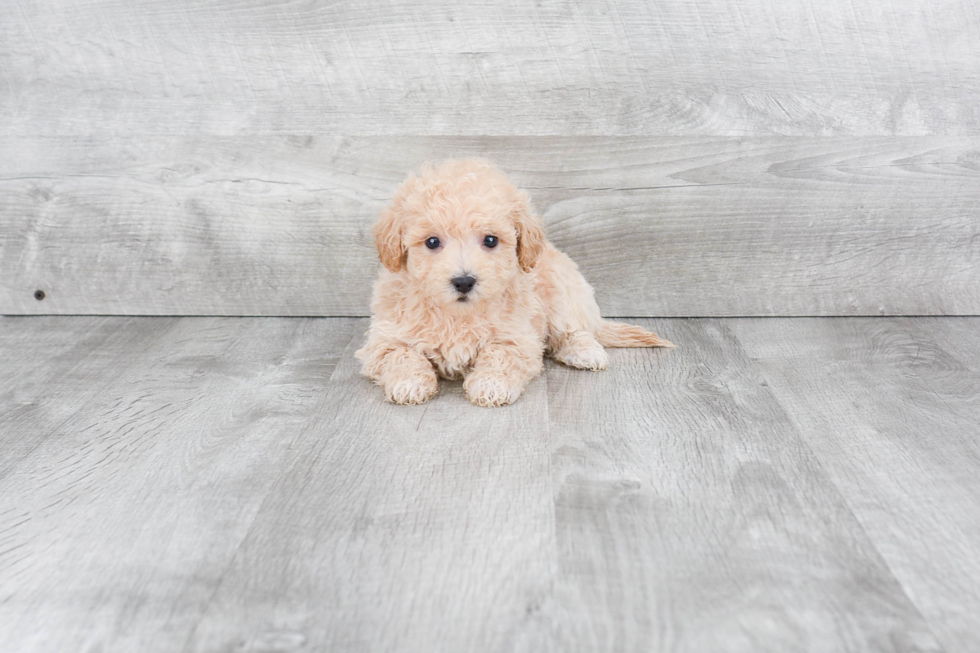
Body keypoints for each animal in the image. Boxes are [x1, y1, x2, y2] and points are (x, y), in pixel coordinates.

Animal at [356, 160, 668, 404]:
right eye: (432, 242)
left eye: (491, 240)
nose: (464, 281)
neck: (457, 314)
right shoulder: (384, 339)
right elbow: (401, 354)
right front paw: (409, 384)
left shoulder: (518, 336)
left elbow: (500, 354)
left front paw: (491, 385)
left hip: (564, 291)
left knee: (575, 331)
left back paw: (586, 353)